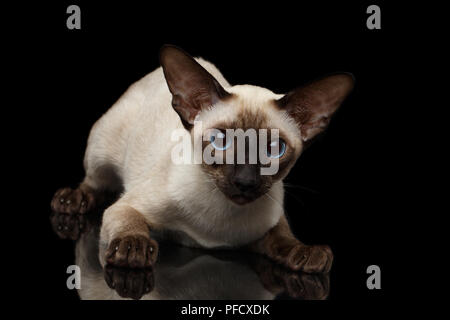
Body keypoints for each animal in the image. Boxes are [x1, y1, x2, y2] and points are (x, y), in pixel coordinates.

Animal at [48, 45, 352, 274]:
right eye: (220, 140)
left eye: (273, 149)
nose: (245, 182)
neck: (221, 218)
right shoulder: (127, 206)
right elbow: (130, 222)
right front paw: (132, 249)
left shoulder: (269, 223)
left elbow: (283, 237)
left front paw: (305, 253)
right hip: (101, 149)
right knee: (93, 182)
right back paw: (72, 200)